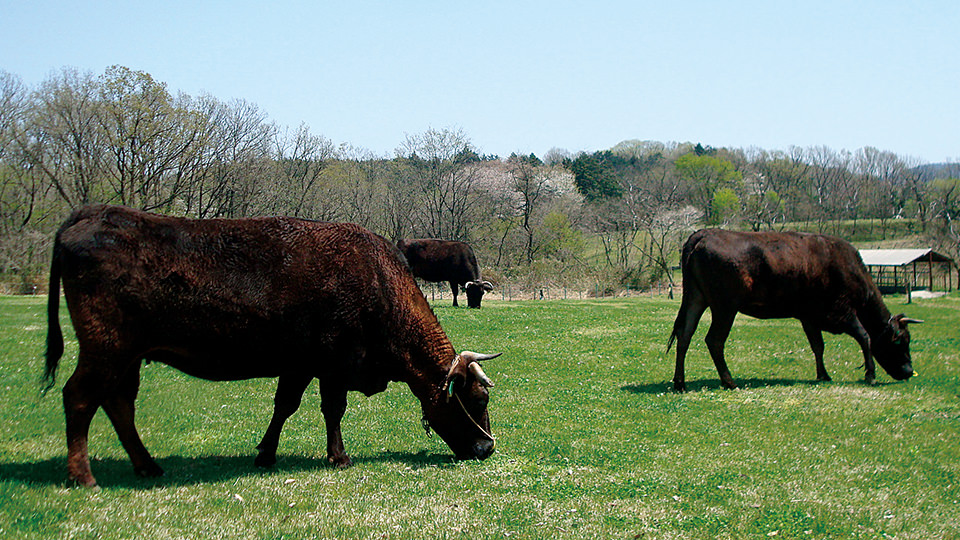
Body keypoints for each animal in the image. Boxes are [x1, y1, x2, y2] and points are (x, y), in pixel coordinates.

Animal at [41, 205, 498, 488]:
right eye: (477, 400)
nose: (487, 448)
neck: (377, 282)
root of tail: (95, 212)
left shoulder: (298, 364)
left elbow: (284, 406)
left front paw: (266, 452)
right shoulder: (333, 365)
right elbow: (332, 409)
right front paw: (339, 456)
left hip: (127, 358)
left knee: (119, 404)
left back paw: (147, 465)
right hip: (106, 350)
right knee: (79, 397)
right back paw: (83, 476)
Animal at [668, 229, 924, 392]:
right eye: (900, 340)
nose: (909, 371)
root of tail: (704, 233)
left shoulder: (809, 317)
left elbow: (818, 345)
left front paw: (823, 374)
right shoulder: (842, 312)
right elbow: (865, 337)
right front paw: (870, 374)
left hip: (696, 299)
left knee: (684, 335)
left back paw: (680, 383)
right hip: (725, 307)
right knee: (714, 340)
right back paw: (729, 382)